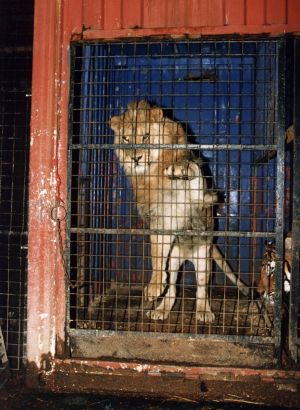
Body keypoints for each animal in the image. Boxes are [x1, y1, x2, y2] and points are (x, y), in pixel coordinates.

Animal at [110, 101, 248, 322]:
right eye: (126, 139)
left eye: (146, 136)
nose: (135, 158)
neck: (152, 173)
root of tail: (187, 257)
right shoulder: (159, 220)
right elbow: (156, 255)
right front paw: (154, 286)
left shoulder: (198, 197)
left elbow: (193, 171)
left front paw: (179, 170)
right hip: (174, 261)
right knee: (173, 288)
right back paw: (161, 310)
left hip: (204, 261)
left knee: (202, 289)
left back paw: (204, 312)